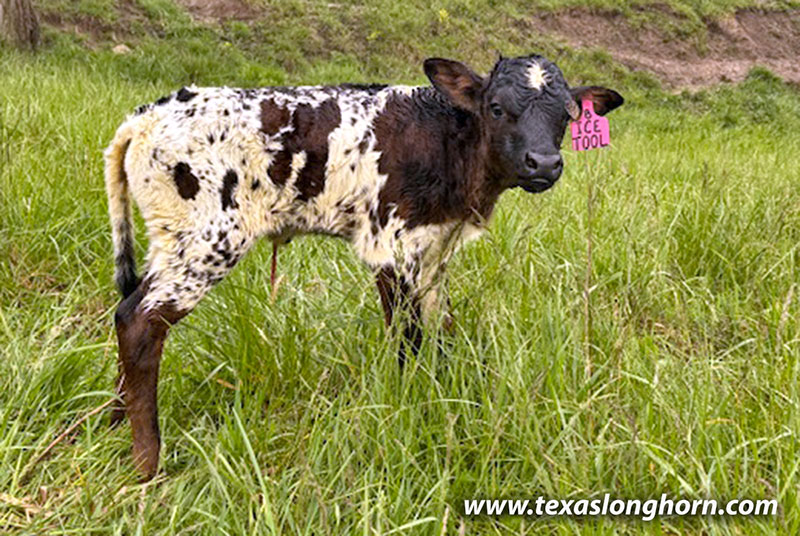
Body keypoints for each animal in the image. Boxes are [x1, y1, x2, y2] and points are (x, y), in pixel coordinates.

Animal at [105, 53, 623, 479]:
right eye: (496, 107)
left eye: (567, 115)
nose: (544, 163)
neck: (451, 142)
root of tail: (146, 116)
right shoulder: (392, 244)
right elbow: (408, 336)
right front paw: (409, 406)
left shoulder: (434, 252)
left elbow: (442, 330)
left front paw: (443, 395)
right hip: (206, 240)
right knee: (139, 322)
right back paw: (147, 463)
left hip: (171, 241)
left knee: (128, 313)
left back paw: (111, 423)